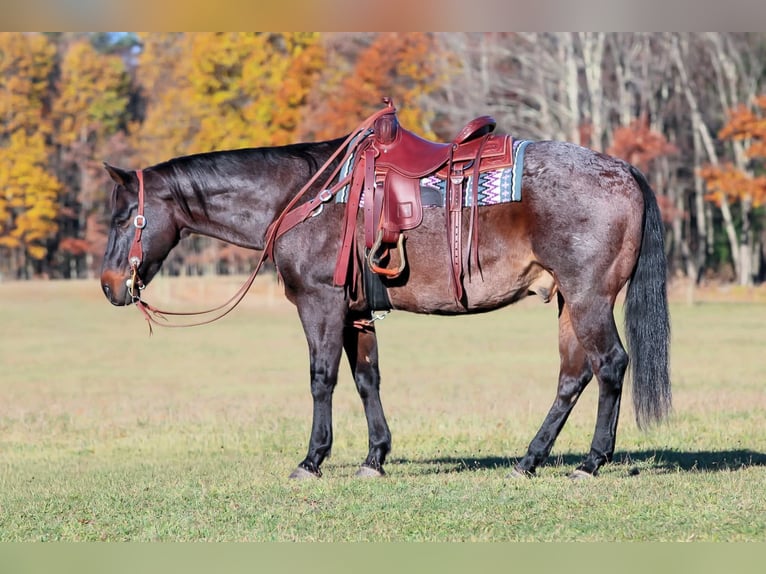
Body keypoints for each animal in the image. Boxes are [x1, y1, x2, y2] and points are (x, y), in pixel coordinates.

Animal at [100, 110, 670, 480]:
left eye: (125, 217)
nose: (109, 285)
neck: (304, 196)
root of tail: (623, 171)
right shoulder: (356, 312)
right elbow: (366, 378)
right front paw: (375, 457)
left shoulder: (321, 303)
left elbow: (322, 378)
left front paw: (312, 460)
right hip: (569, 302)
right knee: (573, 376)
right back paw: (529, 460)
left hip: (589, 297)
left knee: (610, 365)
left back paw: (592, 462)